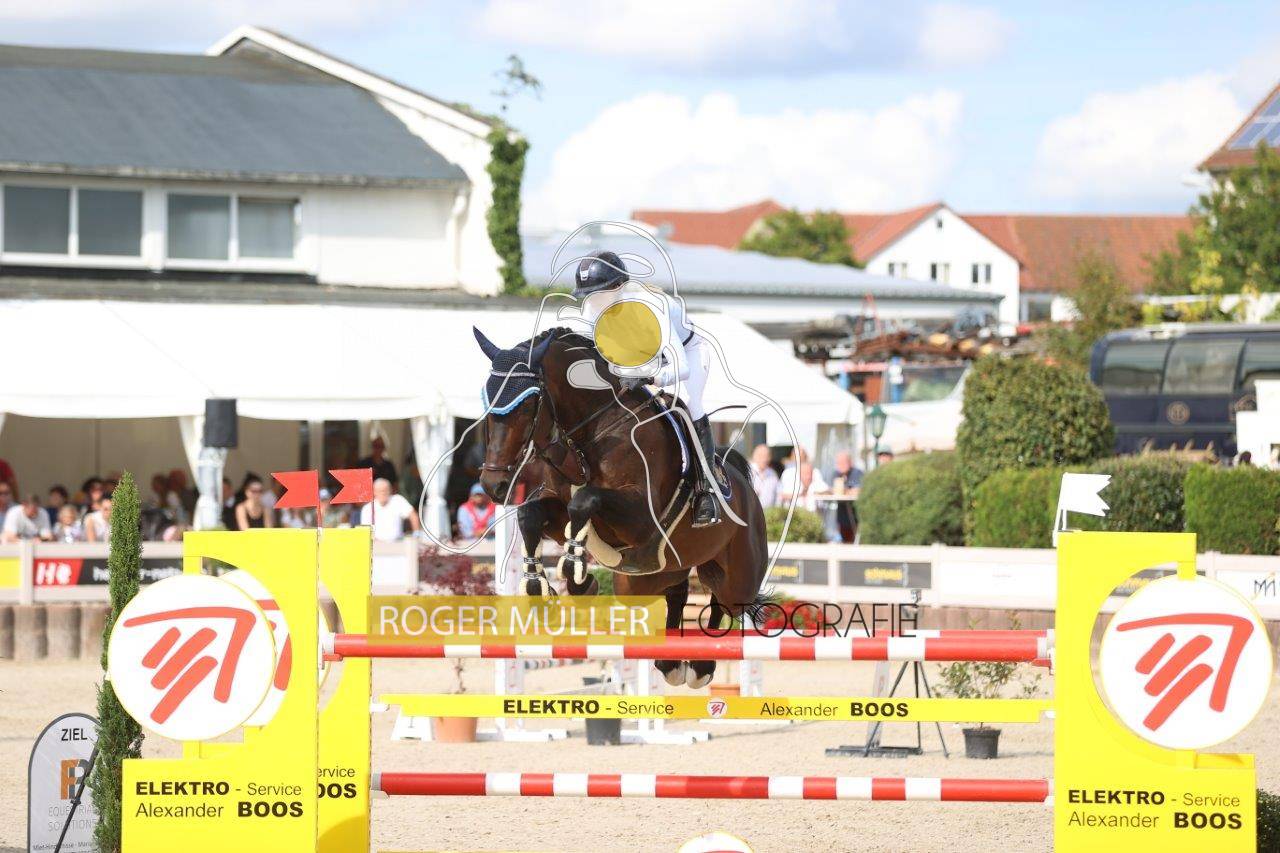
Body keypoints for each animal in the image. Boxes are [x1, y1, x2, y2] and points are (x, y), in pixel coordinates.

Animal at [474, 326, 770, 688]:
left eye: (528, 402)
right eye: (488, 403)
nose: (494, 486)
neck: (589, 434)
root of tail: (747, 490)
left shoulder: (640, 519)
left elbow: (585, 501)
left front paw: (574, 569)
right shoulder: (557, 510)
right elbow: (530, 514)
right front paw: (542, 585)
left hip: (736, 574)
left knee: (723, 602)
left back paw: (701, 665)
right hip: (647, 576)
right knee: (678, 591)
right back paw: (672, 663)